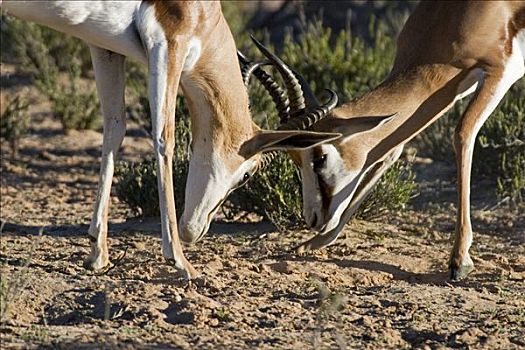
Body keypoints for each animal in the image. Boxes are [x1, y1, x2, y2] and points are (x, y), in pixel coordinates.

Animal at [1, 0, 340, 278]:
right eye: (247, 175)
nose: (194, 232)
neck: (205, 9)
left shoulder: (104, 47)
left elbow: (114, 128)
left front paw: (98, 254)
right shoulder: (168, 43)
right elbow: (164, 137)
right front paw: (179, 260)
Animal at [252, 0, 520, 278]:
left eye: (320, 158)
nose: (313, 218)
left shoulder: (499, 72)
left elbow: (463, 133)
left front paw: (459, 260)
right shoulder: (449, 90)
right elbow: (389, 152)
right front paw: (312, 243)